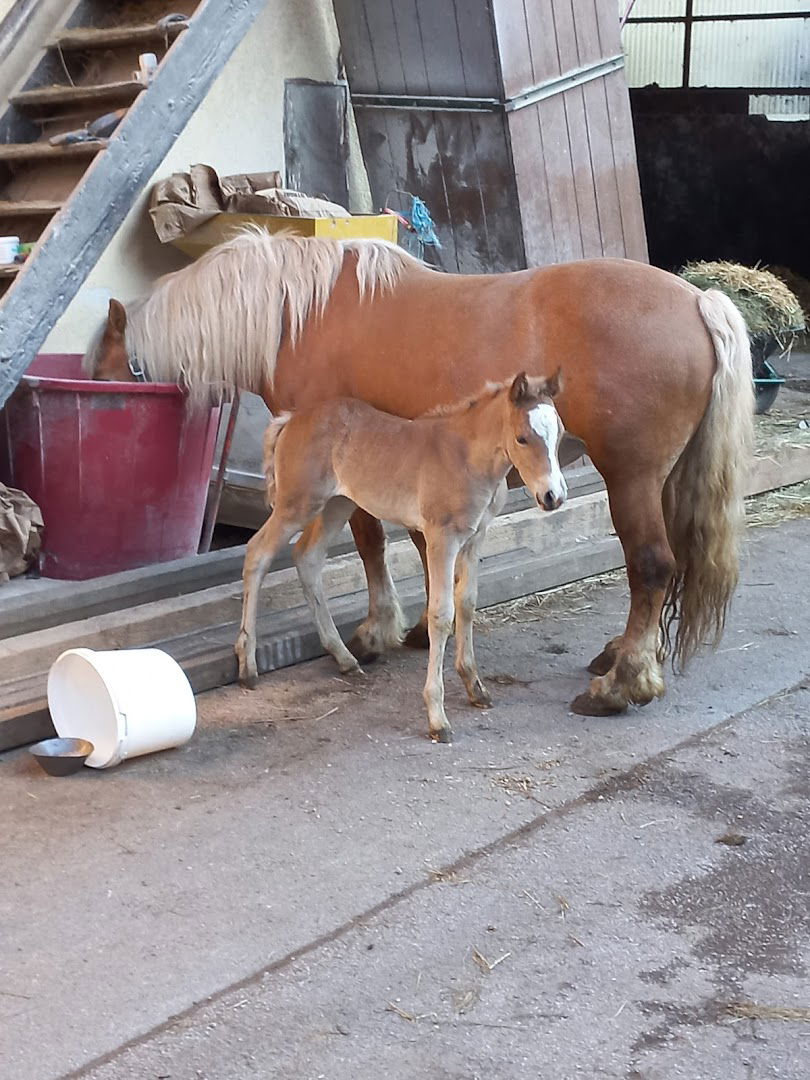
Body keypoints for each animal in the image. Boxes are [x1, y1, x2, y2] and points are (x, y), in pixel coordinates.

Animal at [234, 371, 565, 743]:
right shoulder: (441, 538)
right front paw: (437, 718)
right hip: (297, 504)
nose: (553, 496)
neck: (465, 457)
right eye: (522, 438)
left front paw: (475, 687)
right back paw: (247, 666)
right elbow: (441, 615)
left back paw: (345, 658)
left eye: (559, 434)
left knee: (307, 557)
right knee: (257, 553)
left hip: (338, 504)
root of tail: (291, 419)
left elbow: (467, 603)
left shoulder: (475, 538)